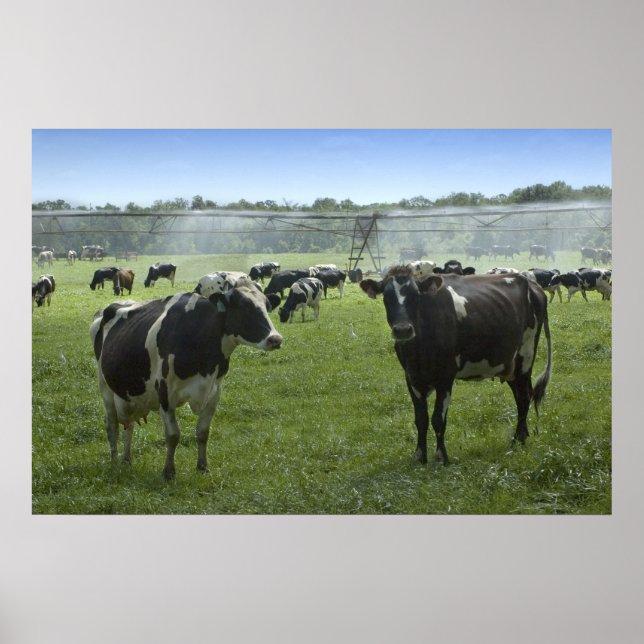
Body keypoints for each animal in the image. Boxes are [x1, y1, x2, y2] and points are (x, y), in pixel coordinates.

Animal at [89, 276, 283, 480]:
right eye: (244, 306)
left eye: (267, 305)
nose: (275, 339)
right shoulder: (165, 392)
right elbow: (173, 435)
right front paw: (168, 472)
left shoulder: (214, 391)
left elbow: (203, 432)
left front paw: (203, 467)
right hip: (106, 388)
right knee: (112, 426)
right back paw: (114, 461)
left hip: (129, 394)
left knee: (129, 425)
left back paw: (127, 459)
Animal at [360, 267, 552, 465]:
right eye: (386, 297)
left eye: (416, 296)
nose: (403, 330)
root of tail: (531, 283)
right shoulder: (411, 377)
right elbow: (421, 419)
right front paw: (419, 456)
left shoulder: (445, 377)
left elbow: (438, 419)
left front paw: (441, 457)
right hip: (510, 365)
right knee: (521, 395)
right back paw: (522, 437)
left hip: (525, 357)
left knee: (524, 396)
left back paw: (518, 440)